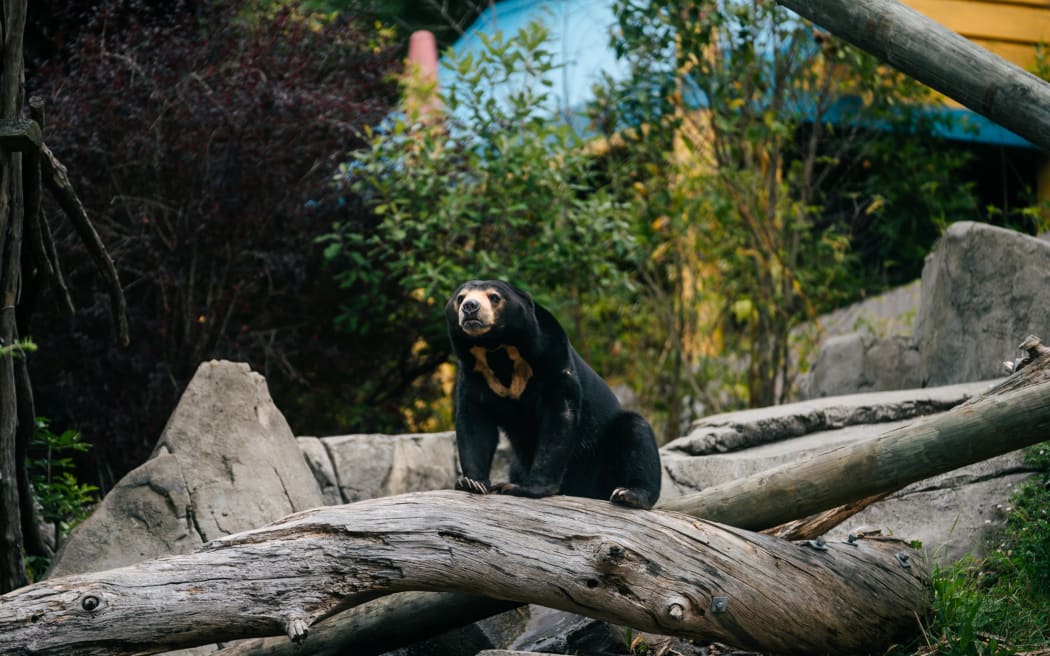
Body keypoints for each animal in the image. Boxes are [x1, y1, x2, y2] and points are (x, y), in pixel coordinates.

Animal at [445, 279, 662, 509]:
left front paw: (525, 488)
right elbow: (474, 422)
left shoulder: (552, 358)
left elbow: (559, 419)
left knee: (636, 432)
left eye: (494, 297)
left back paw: (629, 494)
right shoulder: (474, 373)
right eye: (460, 298)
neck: (496, 350)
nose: (470, 307)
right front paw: (471, 483)